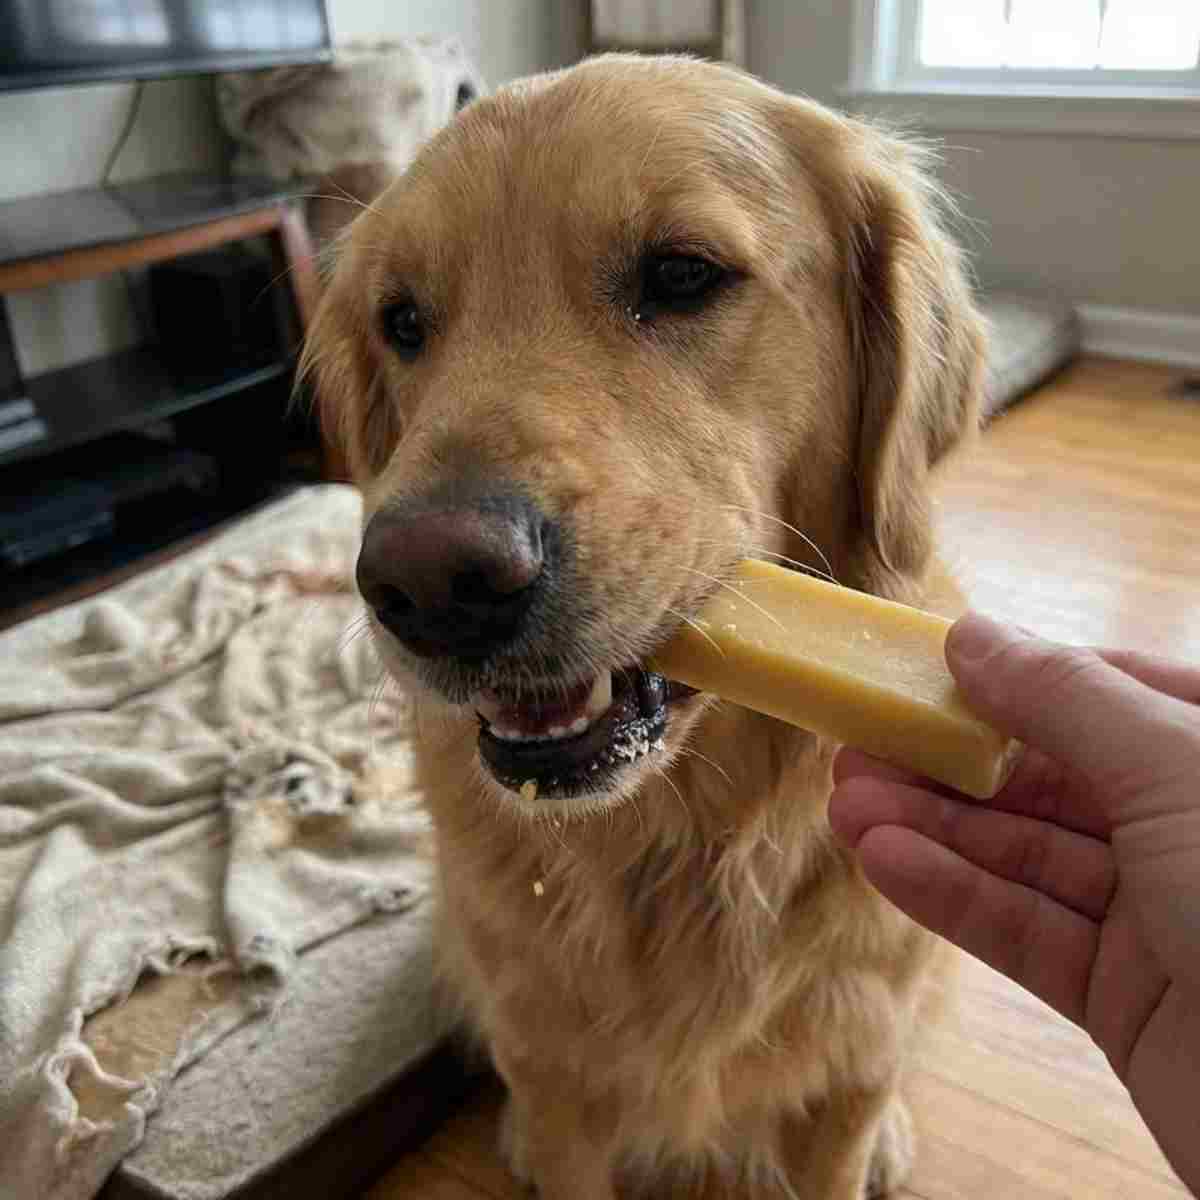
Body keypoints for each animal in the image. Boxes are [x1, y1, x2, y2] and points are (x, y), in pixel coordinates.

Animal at [303, 54, 984, 1200]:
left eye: (680, 274)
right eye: (402, 322)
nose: (428, 585)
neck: (682, 850)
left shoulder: (847, 1068)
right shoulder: (555, 1076)